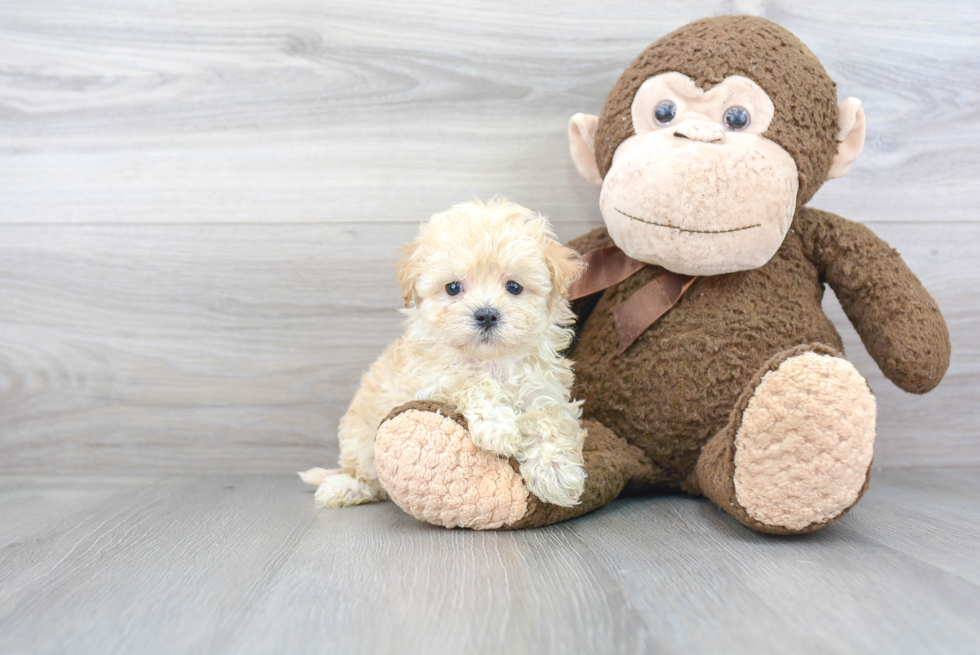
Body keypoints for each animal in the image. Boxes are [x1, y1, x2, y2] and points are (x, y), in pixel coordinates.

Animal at [302, 199, 584, 508]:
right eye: (453, 288)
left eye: (514, 287)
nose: (486, 315)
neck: (491, 361)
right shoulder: (429, 382)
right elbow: (471, 383)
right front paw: (499, 427)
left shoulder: (543, 390)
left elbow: (549, 420)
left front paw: (557, 473)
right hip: (360, 439)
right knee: (367, 476)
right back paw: (345, 487)